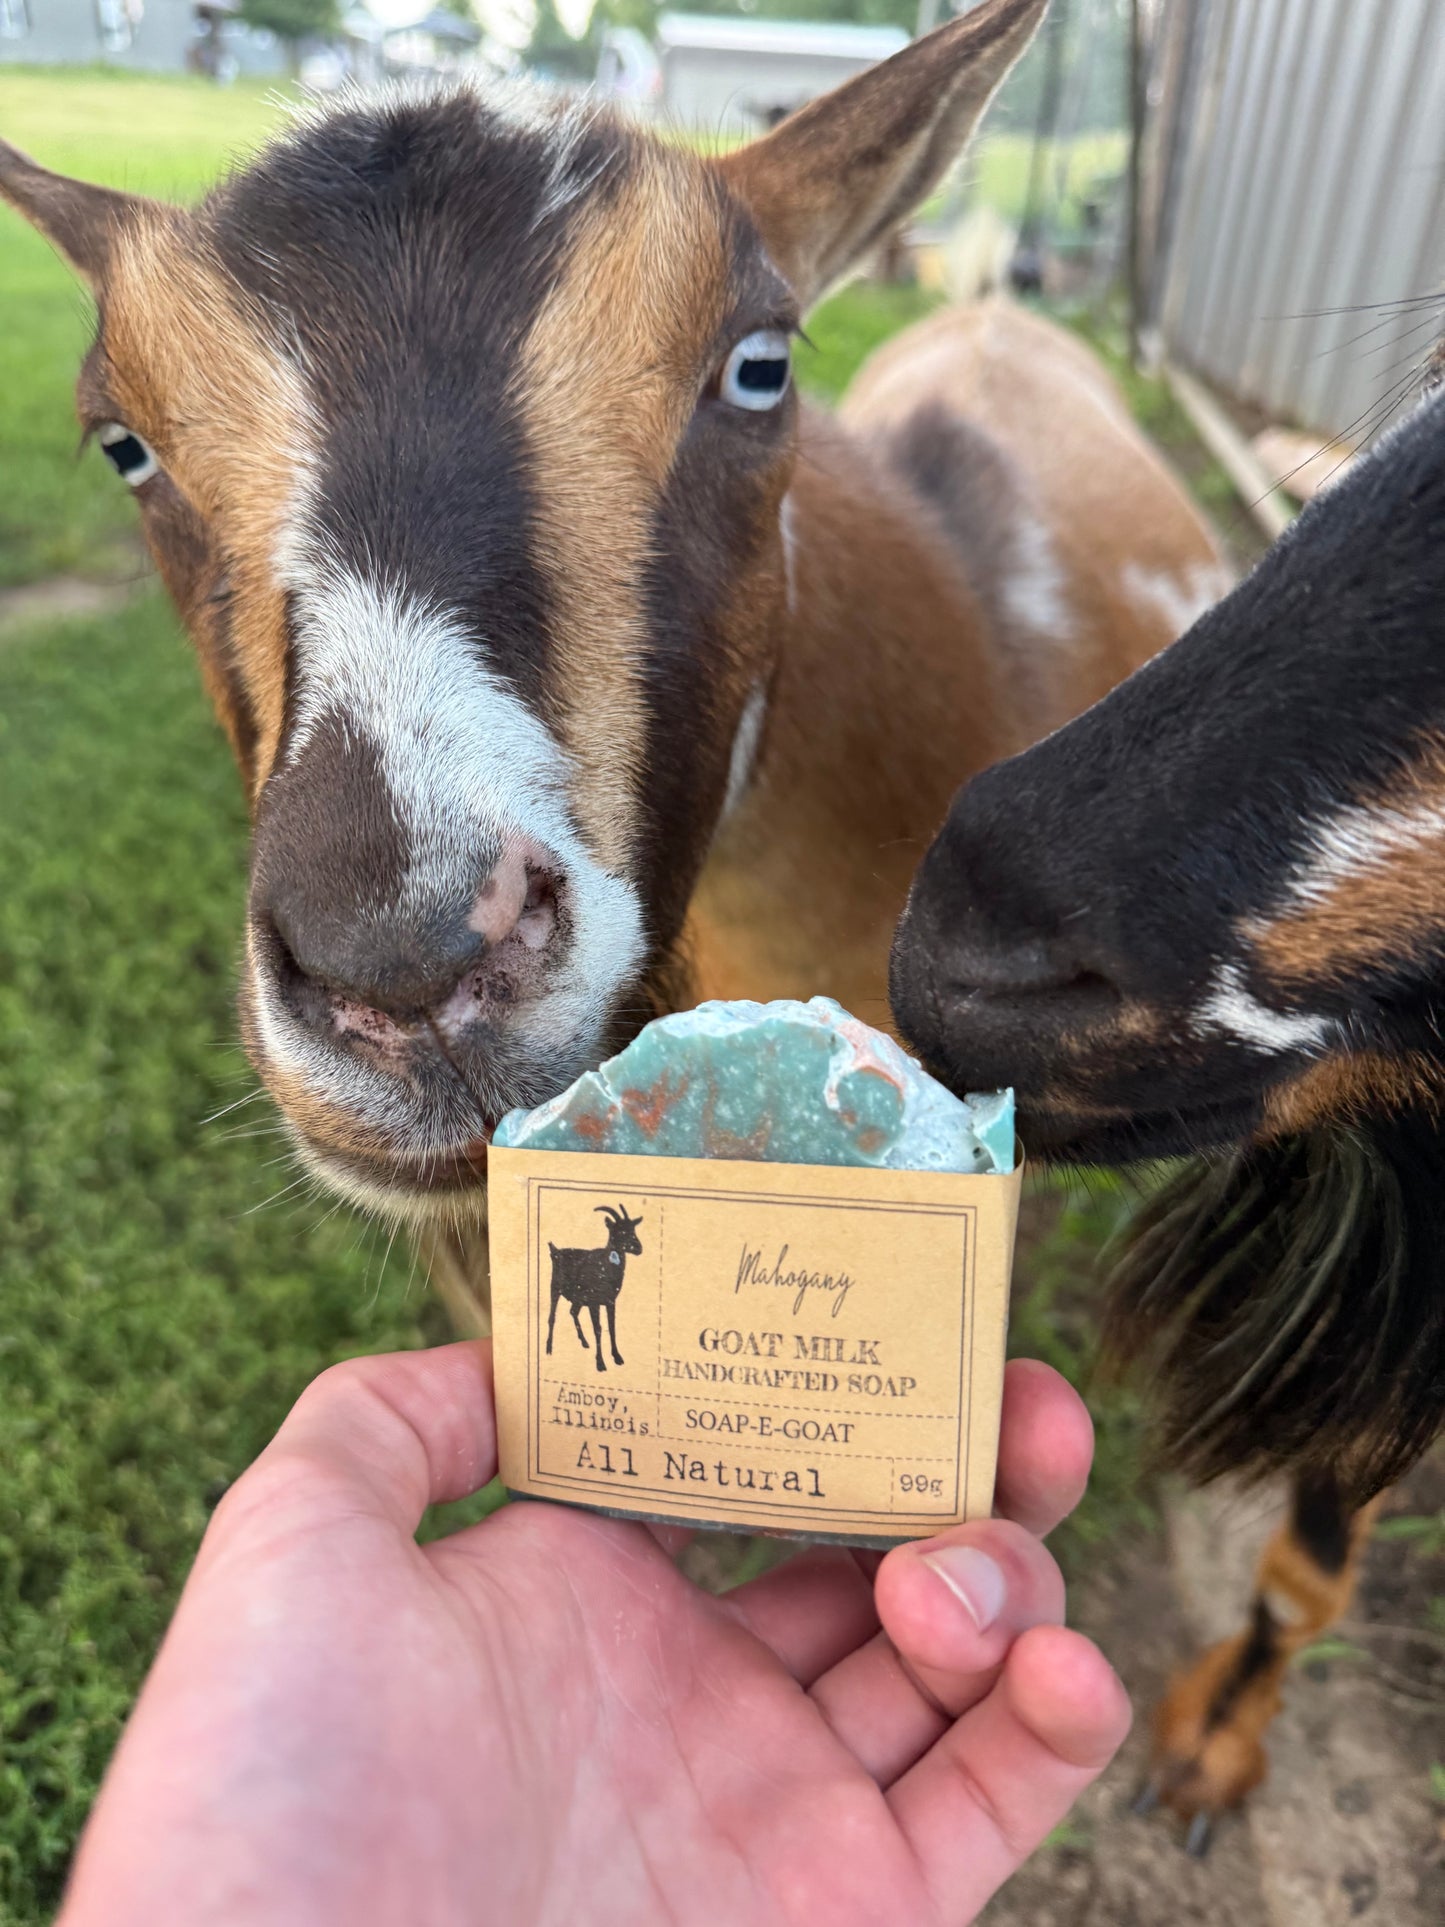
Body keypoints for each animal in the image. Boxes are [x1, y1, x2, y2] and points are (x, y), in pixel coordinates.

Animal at [546, 1204, 643, 1373]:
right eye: (619, 1230)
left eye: (633, 1229)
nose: (638, 1248)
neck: (605, 1266)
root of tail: (555, 1251)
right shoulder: (594, 1302)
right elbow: (598, 1328)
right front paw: (600, 1363)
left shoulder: (611, 1301)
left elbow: (611, 1327)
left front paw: (617, 1357)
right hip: (555, 1288)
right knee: (552, 1317)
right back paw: (549, 1348)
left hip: (578, 1298)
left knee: (573, 1311)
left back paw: (584, 1342)